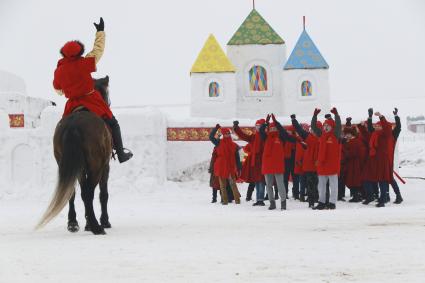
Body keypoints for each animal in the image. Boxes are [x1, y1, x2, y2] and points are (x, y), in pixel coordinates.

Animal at [36, 75, 112, 235]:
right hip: (96, 166)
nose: (108, 104)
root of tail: (73, 125)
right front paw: (104, 221)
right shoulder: (106, 166)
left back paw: (73, 223)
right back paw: (96, 226)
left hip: (66, 163)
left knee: (72, 192)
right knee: (89, 193)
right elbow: (103, 194)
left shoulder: (80, 168)